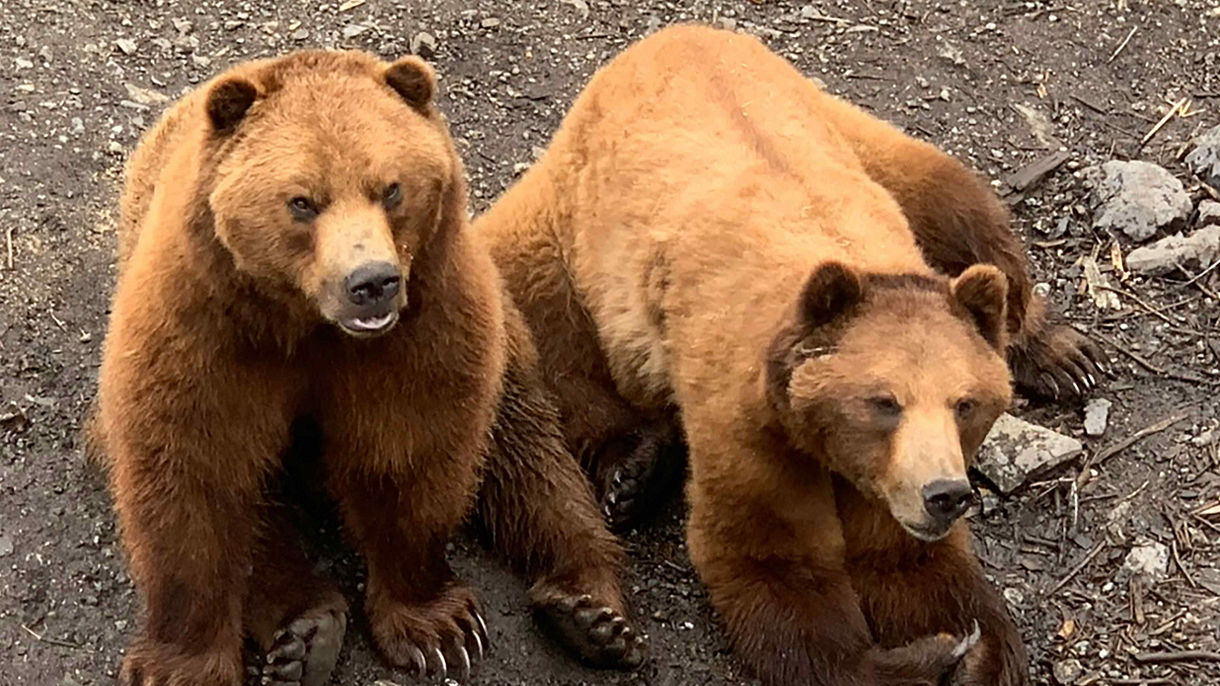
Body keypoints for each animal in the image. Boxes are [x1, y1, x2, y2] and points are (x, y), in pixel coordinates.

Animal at [92, 49, 644, 686]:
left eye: (392, 189)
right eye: (302, 201)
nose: (371, 282)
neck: (307, 325)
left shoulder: (420, 329)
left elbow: (405, 457)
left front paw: (437, 628)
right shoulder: (205, 335)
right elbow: (195, 482)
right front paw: (183, 665)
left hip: (505, 343)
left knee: (530, 462)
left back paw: (590, 608)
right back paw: (305, 631)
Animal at [474, 25, 1107, 685]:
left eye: (964, 403)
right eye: (884, 401)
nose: (945, 493)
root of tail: (670, 34)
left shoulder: (891, 474)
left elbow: (913, 565)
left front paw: (975, 649)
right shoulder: (751, 423)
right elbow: (774, 561)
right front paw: (928, 656)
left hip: (855, 135)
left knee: (966, 216)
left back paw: (1063, 354)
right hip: (558, 239)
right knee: (547, 357)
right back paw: (624, 498)